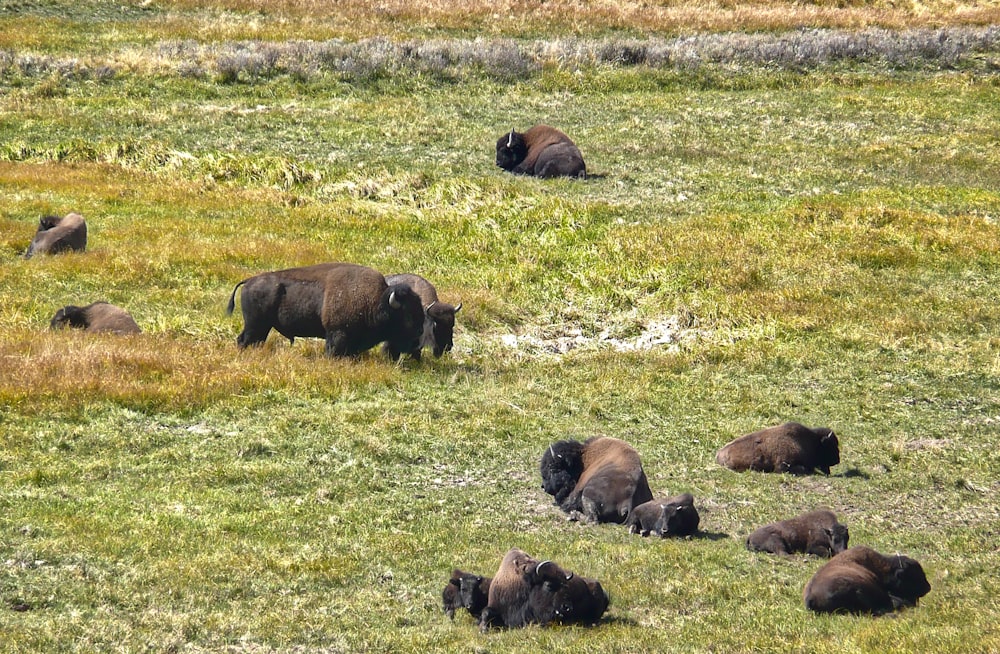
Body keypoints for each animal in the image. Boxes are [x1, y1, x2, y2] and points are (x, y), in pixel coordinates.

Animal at [225, 264, 424, 362]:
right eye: (407, 315)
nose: (420, 334)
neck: (376, 301)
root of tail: (249, 281)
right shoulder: (337, 334)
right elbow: (333, 351)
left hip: (262, 327)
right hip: (255, 325)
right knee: (244, 340)